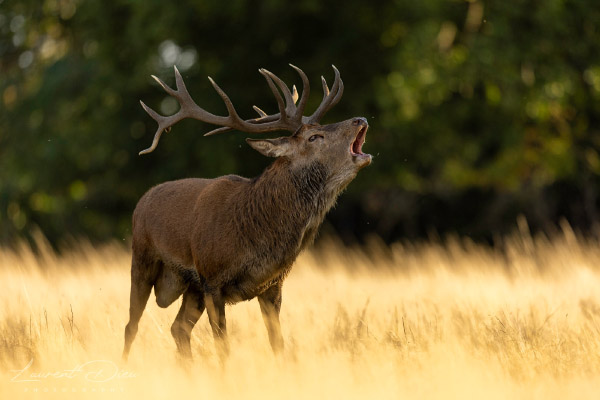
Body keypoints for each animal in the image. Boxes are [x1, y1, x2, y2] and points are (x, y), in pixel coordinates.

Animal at [122, 64, 370, 360]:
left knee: (178, 328)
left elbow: (277, 343)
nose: (360, 119)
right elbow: (223, 346)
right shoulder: (213, 280)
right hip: (143, 260)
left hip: (192, 287)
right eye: (314, 137)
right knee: (132, 326)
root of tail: (142, 201)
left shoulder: (273, 285)